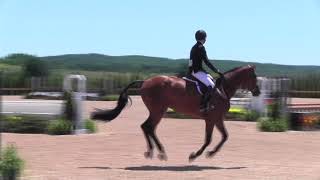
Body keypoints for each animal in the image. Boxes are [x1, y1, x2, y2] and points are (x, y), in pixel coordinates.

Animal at [91, 65, 262, 162]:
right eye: (254, 76)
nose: (258, 92)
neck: (223, 89)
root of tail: (145, 81)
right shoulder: (211, 119)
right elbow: (208, 139)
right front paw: (195, 155)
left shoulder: (217, 119)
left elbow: (225, 136)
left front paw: (211, 153)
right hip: (158, 110)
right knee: (148, 127)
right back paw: (159, 152)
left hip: (158, 110)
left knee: (147, 127)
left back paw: (152, 152)